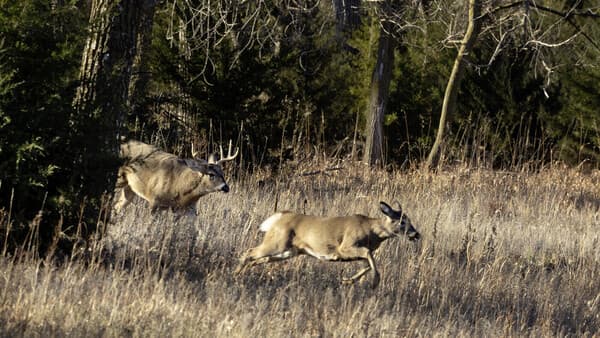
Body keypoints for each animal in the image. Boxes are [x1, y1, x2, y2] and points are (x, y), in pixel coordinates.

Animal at [236, 201, 422, 288]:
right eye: (401, 221)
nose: (416, 234)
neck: (371, 232)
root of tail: (278, 217)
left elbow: (368, 264)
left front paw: (347, 281)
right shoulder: (345, 247)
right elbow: (369, 257)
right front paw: (374, 283)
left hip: (288, 251)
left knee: (258, 258)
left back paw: (243, 273)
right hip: (277, 243)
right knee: (249, 251)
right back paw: (236, 274)